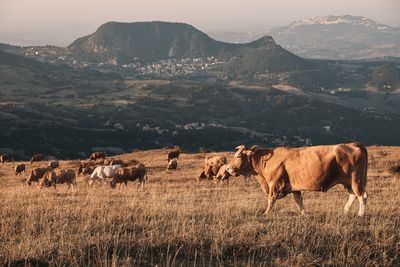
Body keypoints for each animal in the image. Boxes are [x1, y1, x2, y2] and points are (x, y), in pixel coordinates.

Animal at [227, 143, 368, 217]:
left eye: (239, 156)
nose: (228, 169)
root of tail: (353, 144)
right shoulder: (294, 187)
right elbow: (299, 201)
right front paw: (304, 213)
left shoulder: (274, 185)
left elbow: (271, 200)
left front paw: (266, 213)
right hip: (348, 183)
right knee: (353, 195)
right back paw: (345, 211)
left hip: (355, 180)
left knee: (362, 196)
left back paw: (360, 215)